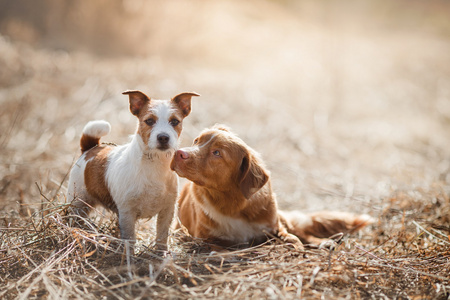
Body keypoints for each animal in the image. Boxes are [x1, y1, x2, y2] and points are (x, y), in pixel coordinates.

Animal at [66, 90, 199, 250]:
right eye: (149, 121)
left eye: (174, 121)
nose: (163, 137)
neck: (154, 164)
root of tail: (91, 149)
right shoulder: (127, 213)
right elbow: (130, 239)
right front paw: (129, 254)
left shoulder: (167, 210)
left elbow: (162, 236)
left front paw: (160, 253)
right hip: (78, 202)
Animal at [171, 124, 370, 248]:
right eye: (196, 140)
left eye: (217, 153)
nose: (178, 153)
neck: (232, 204)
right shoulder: (204, 238)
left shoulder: (274, 227)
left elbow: (293, 239)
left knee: (301, 232)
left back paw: (323, 242)